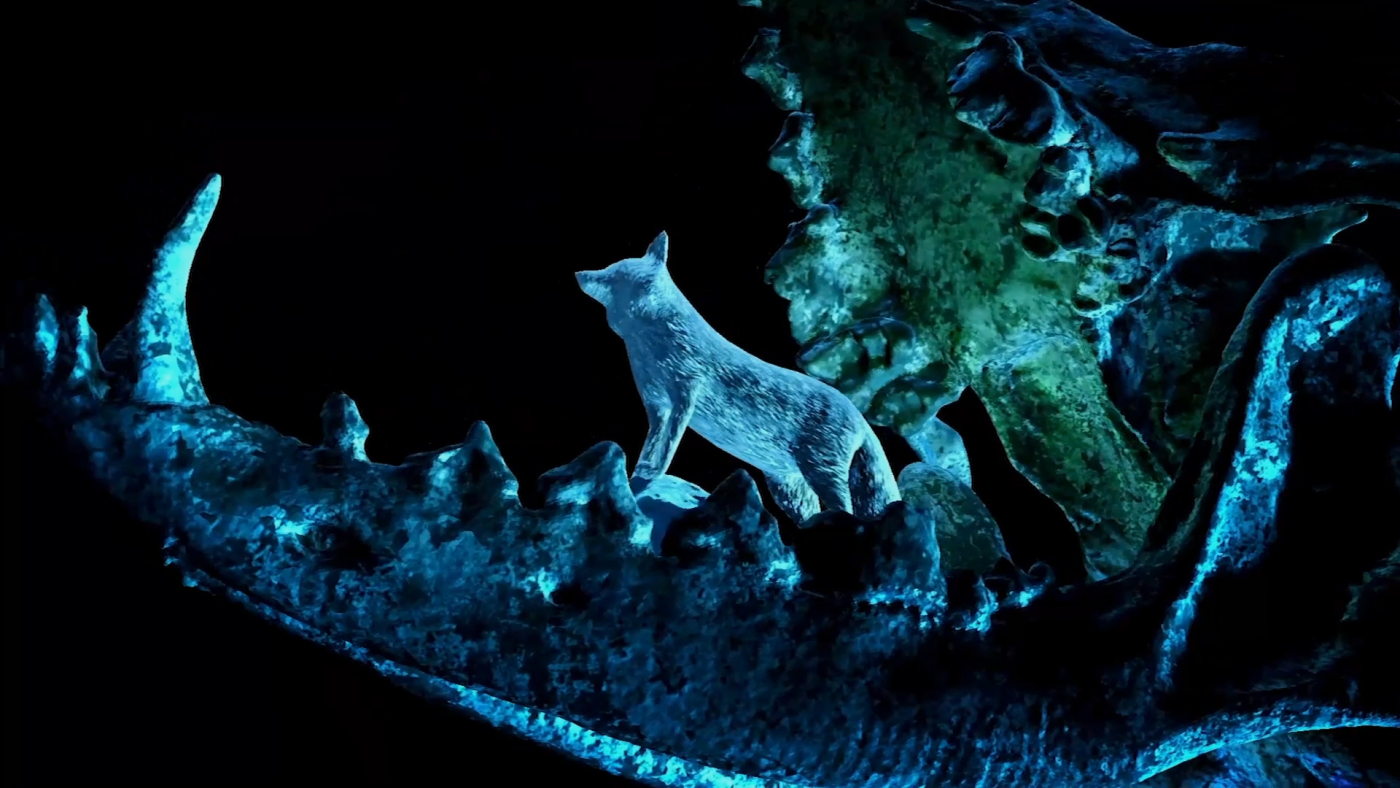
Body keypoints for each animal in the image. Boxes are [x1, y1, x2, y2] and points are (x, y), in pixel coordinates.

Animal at [574, 231, 901, 523]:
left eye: (613, 278)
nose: (580, 274)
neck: (650, 353)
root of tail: (859, 416)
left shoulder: (685, 394)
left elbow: (668, 447)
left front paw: (651, 475)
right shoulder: (657, 406)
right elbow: (652, 446)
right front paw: (639, 475)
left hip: (821, 471)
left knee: (844, 508)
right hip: (790, 488)